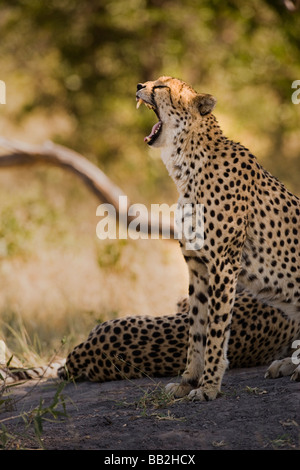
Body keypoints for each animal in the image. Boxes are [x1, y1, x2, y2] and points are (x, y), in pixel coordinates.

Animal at [135, 77, 300, 400]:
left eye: (162, 87)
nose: (138, 85)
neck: (187, 164)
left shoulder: (224, 265)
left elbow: (216, 329)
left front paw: (209, 385)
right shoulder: (197, 265)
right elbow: (196, 327)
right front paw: (189, 379)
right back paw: (288, 364)